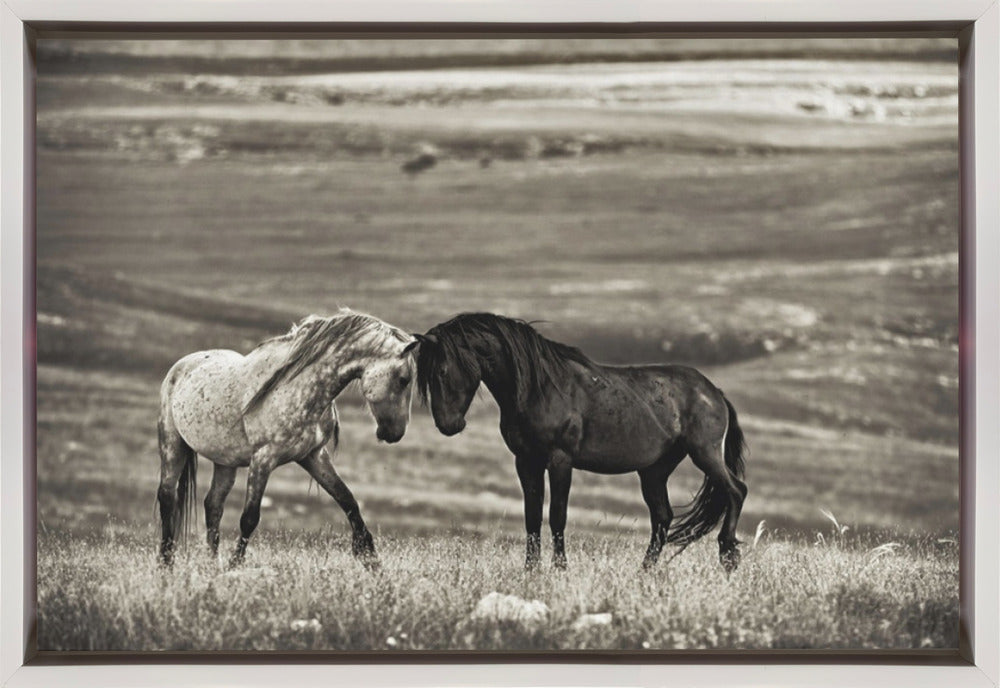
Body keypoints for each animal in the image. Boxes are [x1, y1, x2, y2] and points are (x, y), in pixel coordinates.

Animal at [157, 309, 418, 570]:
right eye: (403, 379)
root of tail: (180, 366)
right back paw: (166, 563)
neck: (297, 388)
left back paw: (213, 565)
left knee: (213, 505)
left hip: (225, 461)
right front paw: (235, 565)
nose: (396, 433)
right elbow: (249, 518)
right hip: (172, 444)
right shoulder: (263, 458)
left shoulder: (314, 456)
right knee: (167, 496)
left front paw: (370, 558)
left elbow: (348, 501)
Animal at [412, 313, 748, 572]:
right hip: (654, 470)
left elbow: (557, 516)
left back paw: (728, 555)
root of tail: (714, 392)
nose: (448, 425)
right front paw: (531, 571)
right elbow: (532, 517)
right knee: (663, 516)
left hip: (704, 453)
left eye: (442, 370)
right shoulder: (526, 461)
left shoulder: (560, 460)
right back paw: (645, 571)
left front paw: (561, 569)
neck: (539, 388)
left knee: (736, 491)